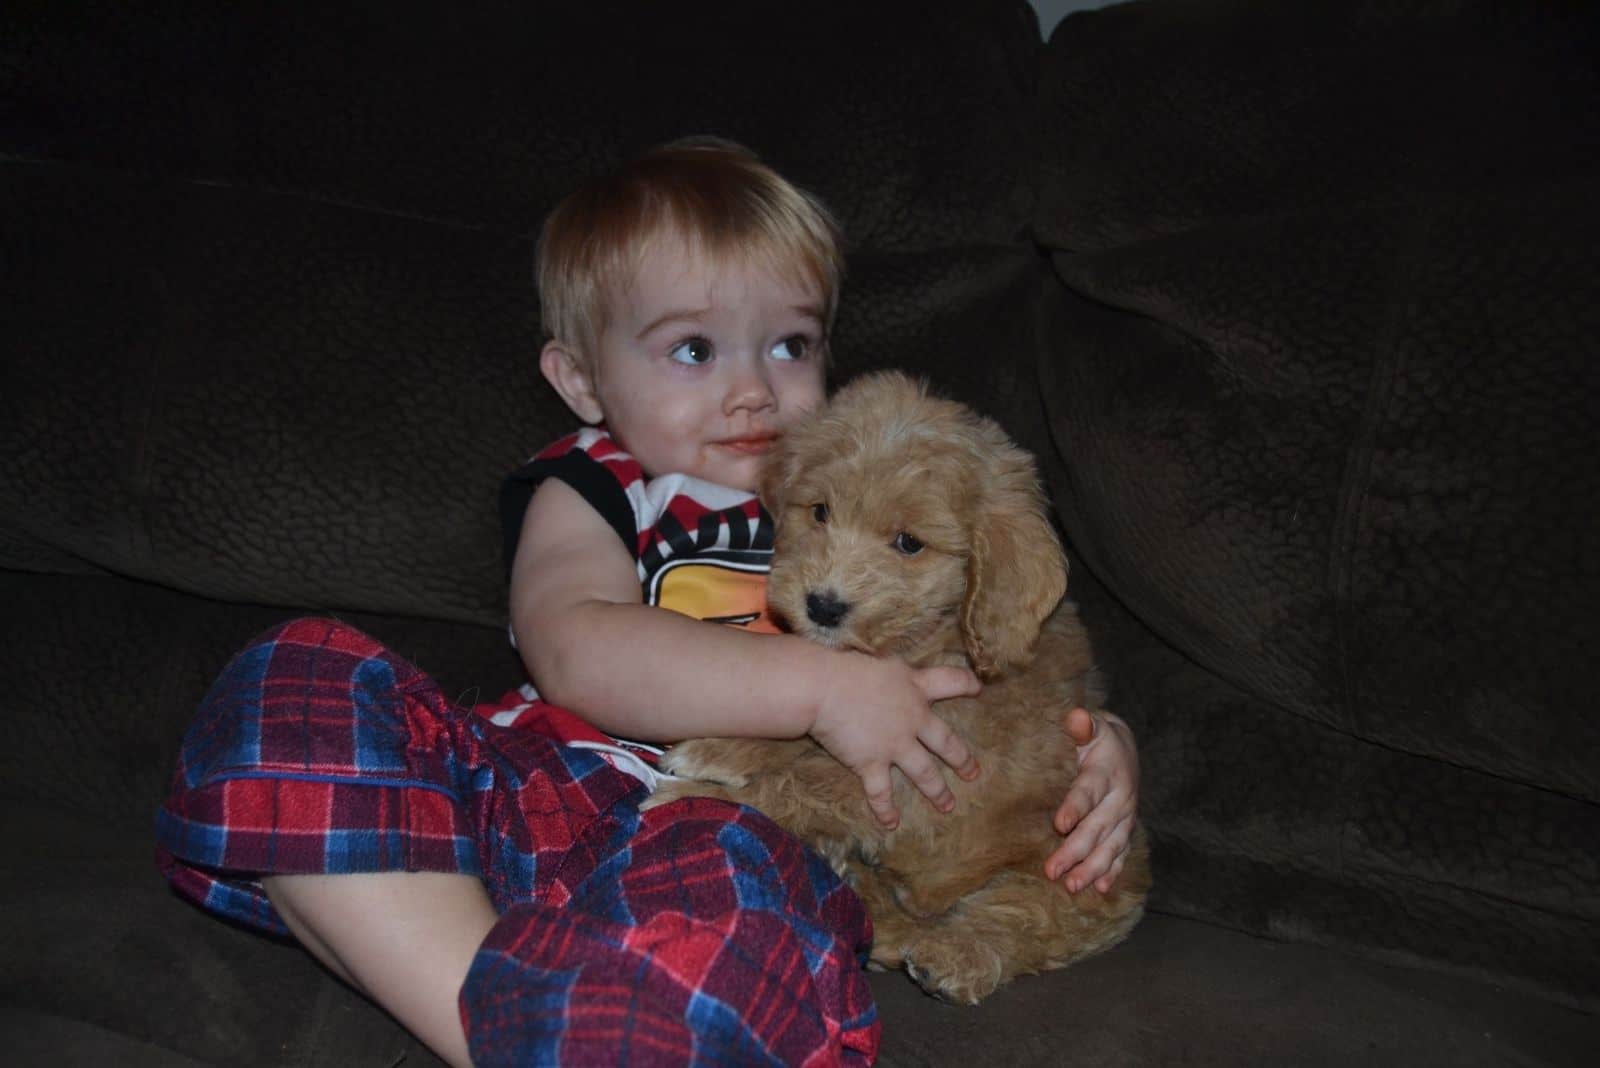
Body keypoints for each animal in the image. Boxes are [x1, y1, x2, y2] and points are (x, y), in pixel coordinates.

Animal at [643, 369, 1145, 1004]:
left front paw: (696, 798)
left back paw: (948, 955)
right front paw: (720, 748)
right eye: (821, 511)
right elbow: (809, 732)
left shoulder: (923, 785)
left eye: (909, 543)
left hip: (1069, 872)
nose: (823, 606)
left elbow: (800, 783)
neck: (934, 639)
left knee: (1014, 921)